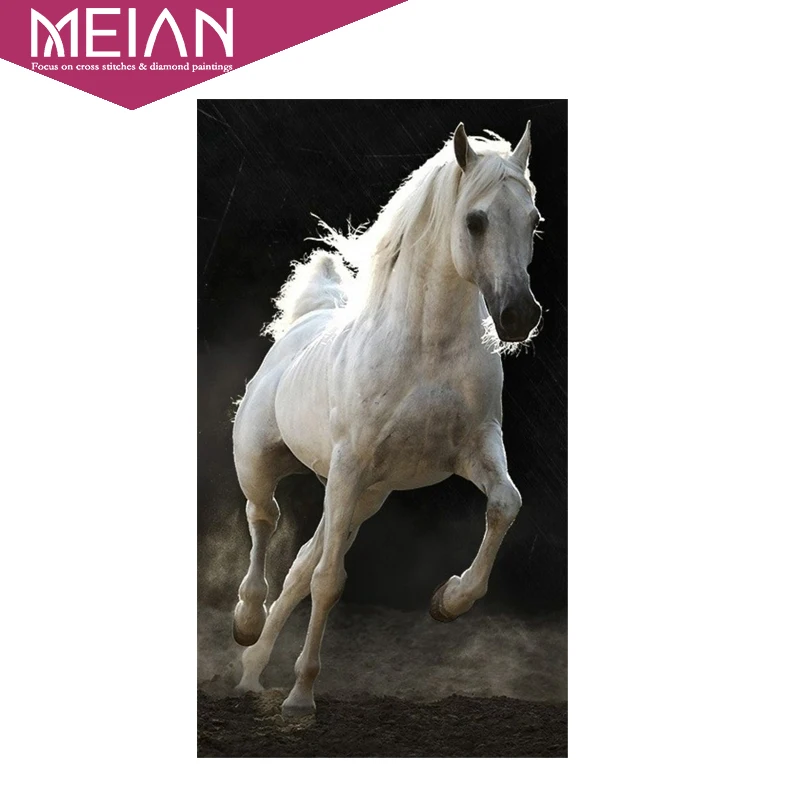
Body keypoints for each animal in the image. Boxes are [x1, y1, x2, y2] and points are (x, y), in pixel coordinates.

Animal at [230, 121, 544, 716]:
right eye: (475, 220)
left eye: (534, 220)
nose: (520, 316)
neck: (427, 348)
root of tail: (305, 323)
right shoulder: (351, 463)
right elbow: (331, 581)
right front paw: (301, 699)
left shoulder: (475, 448)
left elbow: (505, 504)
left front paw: (448, 600)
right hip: (267, 464)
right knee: (265, 521)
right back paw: (246, 625)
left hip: (363, 496)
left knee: (300, 564)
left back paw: (252, 674)